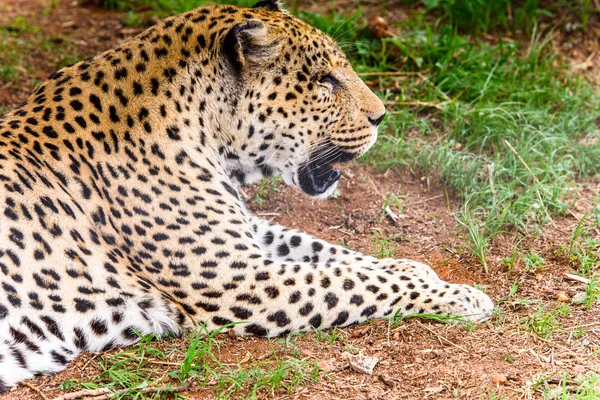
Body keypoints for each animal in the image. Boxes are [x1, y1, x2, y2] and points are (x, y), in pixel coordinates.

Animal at [0, 0, 492, 388]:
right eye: (323, 81)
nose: (381, 116)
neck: (207, 138)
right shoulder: (238, 278)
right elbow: (347, 280)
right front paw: (462, 297)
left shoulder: (245, 238)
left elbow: (327, 251)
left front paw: (419, 269)